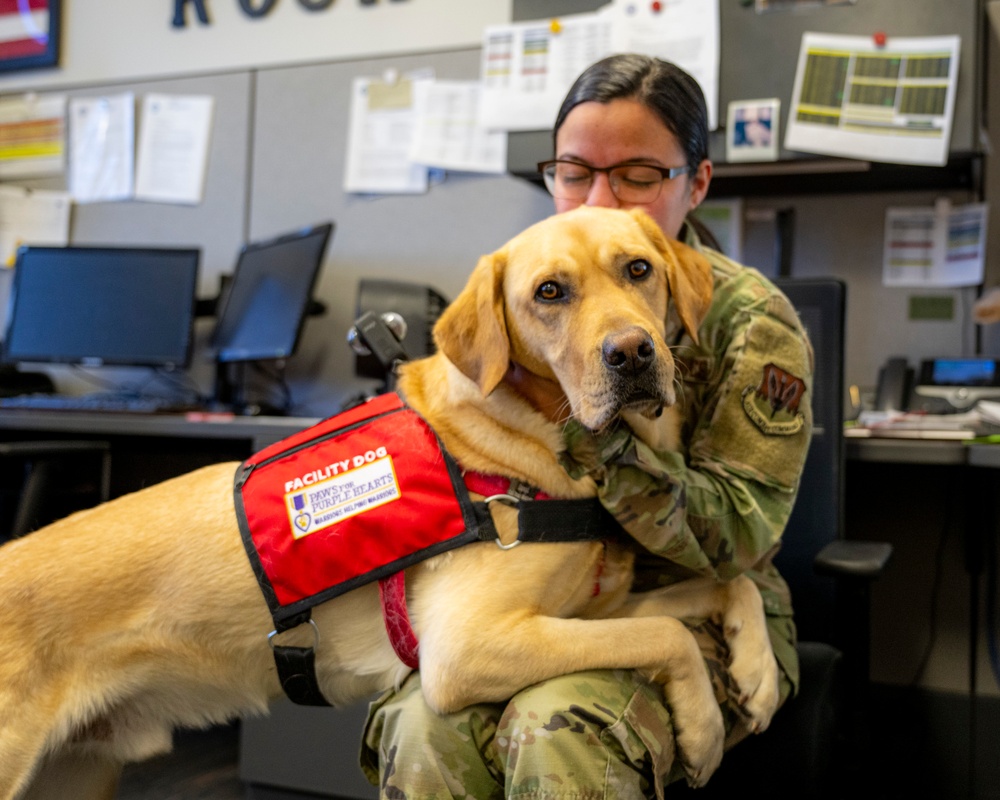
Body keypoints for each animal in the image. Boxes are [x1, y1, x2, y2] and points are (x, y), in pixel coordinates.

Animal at [0, 208, 780, 800]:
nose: (632, 353)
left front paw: (757, 672)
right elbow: (669, 633)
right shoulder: (467, 646)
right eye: (550, 292)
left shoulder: (582, 614)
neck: (532, 438)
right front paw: (705, 730)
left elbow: (722, 584)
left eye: (638, 270)